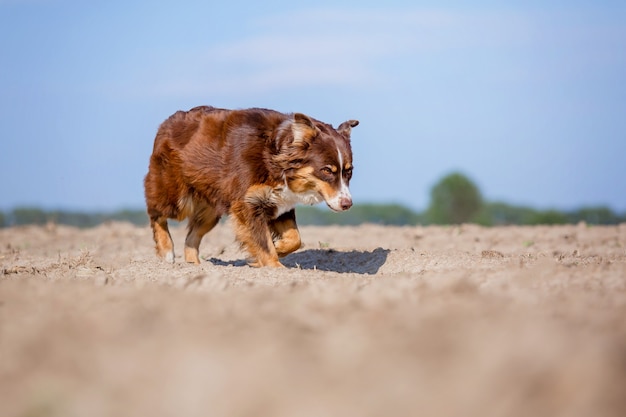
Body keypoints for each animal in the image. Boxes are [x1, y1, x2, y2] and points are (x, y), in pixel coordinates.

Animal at [142, 105, 356, 266]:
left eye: (348, 171)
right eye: (327, 170)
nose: (347, 204)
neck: (274, 156)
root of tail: (167, 122)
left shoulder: (280, 203)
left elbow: (295, 239)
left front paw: (279, 248)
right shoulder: (247, 203)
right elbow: (263, 242)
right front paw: (275, 267)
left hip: (211, 210)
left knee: (191, 237)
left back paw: (194, 267)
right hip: (176, 195)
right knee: (157, 214)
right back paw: (167, 252)